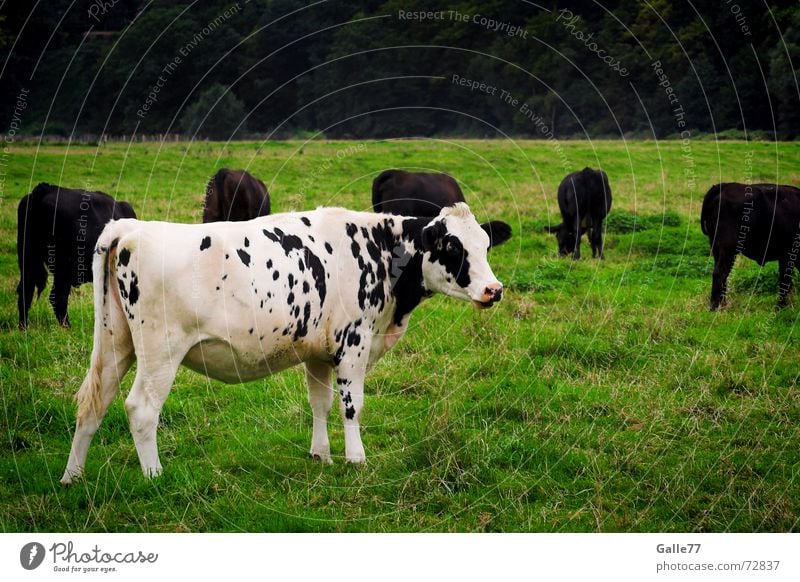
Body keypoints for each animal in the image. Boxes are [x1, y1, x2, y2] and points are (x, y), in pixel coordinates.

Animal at [16, 182, 136, 328]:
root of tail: (45, 188)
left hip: (28, 259)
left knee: (25, 290)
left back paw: (23, 328)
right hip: (62, 267)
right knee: (57, 296)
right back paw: (67, 327)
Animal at [64, 203, 512, 486]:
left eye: (486, 245)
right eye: (452, 246)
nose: (494, 289)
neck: (379, 252)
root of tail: (130, 227)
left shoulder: (319, 350)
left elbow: (321, 403)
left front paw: (321, 455)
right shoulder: (354, 343)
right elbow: (352, 405)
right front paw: (356, 460)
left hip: (115, 342)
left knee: (93, 403)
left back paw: (73, 476)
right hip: (161, 350)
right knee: (141, 409)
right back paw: (154, 476)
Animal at [700, 184, 800, 312]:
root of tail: (724, 186)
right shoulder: (788, 255)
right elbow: (785, 281)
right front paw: (780, 308)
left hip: (715, 246)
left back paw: (722, 305)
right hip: (729, 249)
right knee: (720, 273)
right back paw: (715, 307)